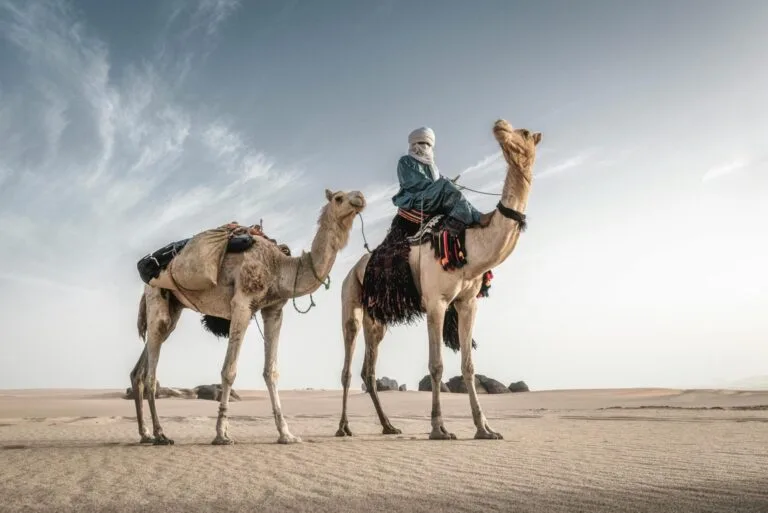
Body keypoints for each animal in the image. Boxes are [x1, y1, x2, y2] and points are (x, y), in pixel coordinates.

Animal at [131, 188, 366, 445]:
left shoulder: (273, 309)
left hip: (174, 308)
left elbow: (271, 371)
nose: (360, 197)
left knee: (140, 370)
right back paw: (160, 434)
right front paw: (222, 434)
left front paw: (286, 434)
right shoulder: (242, 304)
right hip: (157, 299)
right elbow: (229, 370)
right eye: (339, 198)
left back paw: (145, 434)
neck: (281, 267)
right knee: (151, 371)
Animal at [336, 119, 541, 440]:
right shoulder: (436, 302)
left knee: (368, 370)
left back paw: (388, 425)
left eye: (524, 133)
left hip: (377, 316)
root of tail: (354, 268)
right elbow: (436, 365)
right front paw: (439, 428)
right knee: (347, 363)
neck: (471, 243)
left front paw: (485, 428)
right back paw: (344, 427)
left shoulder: (467, 302)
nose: (499, 125)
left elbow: (468, 366)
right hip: (350, 299)